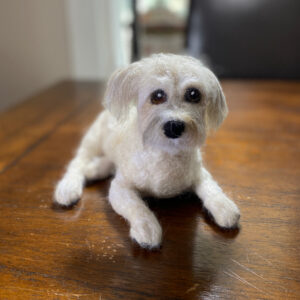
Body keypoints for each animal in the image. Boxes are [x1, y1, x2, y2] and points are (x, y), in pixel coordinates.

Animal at [54, 53, 240, 248]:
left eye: (194, 94)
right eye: (157, 95)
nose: (174, 126)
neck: (166, 155)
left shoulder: (199, 174)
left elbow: (212, 189)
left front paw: (224, 206)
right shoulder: (120, 189)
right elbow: (137, 207)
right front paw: (147, 227)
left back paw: (96, 168)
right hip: (92, 141)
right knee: (77, 163)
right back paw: (68, 187)